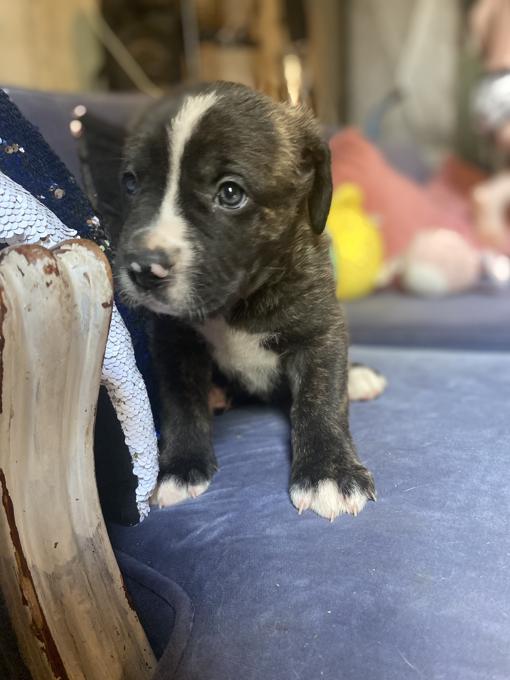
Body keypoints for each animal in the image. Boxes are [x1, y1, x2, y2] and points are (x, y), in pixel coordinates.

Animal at [113, 82, 380, 524]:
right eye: (131, 183)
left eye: (230, 193)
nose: (142, 268)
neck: (238, 302)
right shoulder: (173, 342)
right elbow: (180, 403)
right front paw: (179, 467)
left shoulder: (320, 331)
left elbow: (320, 400)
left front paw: (328, 473)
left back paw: (358, 377)